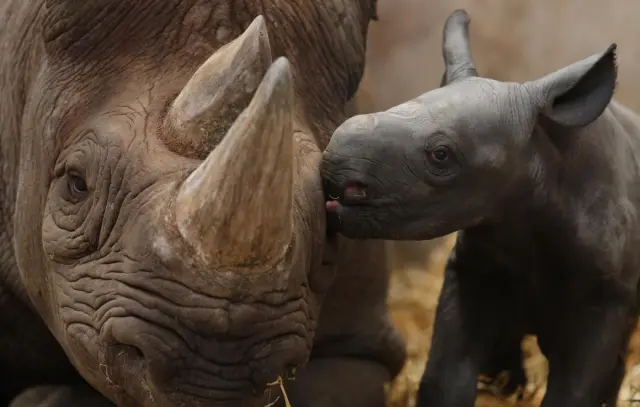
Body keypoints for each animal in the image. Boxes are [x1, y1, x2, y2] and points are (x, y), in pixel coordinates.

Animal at [322, 9, 640, 407]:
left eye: (440, 155)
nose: (332, 168)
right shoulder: (473, 269)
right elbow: (446, 375)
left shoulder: (603, 296)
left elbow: (574, 390)